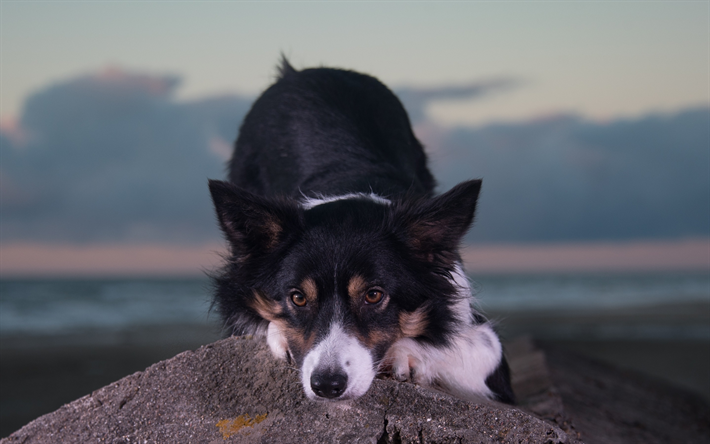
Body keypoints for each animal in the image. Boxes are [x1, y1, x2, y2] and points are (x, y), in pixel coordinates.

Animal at [209, 57, 516, 404]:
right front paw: (278, 331)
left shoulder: (487, 347)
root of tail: (298, 72)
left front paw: (405, 353)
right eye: (297, 298)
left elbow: (468, 345)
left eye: (373, 295)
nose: (327, 385)